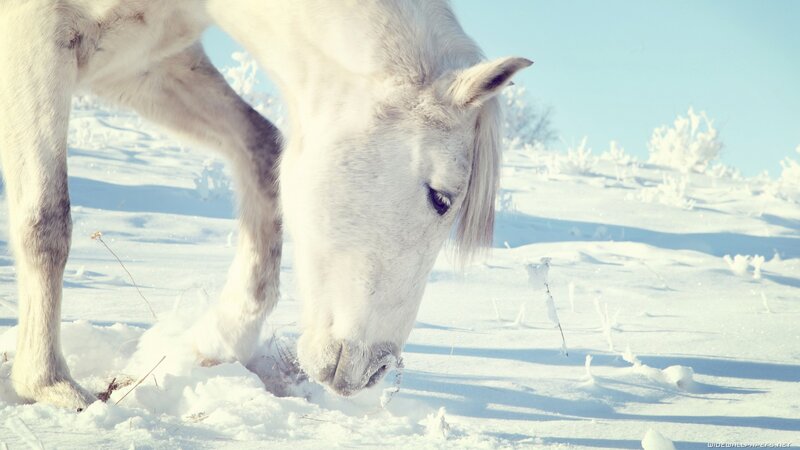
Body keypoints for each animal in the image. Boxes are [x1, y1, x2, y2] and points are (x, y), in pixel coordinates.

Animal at [0, 0, 531, 410]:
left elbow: (262, 149)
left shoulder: (140, 64)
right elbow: (46, 220)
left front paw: (221, 339)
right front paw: (49, 384)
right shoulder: (37, 39)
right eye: (440, 198)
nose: (376, 370)